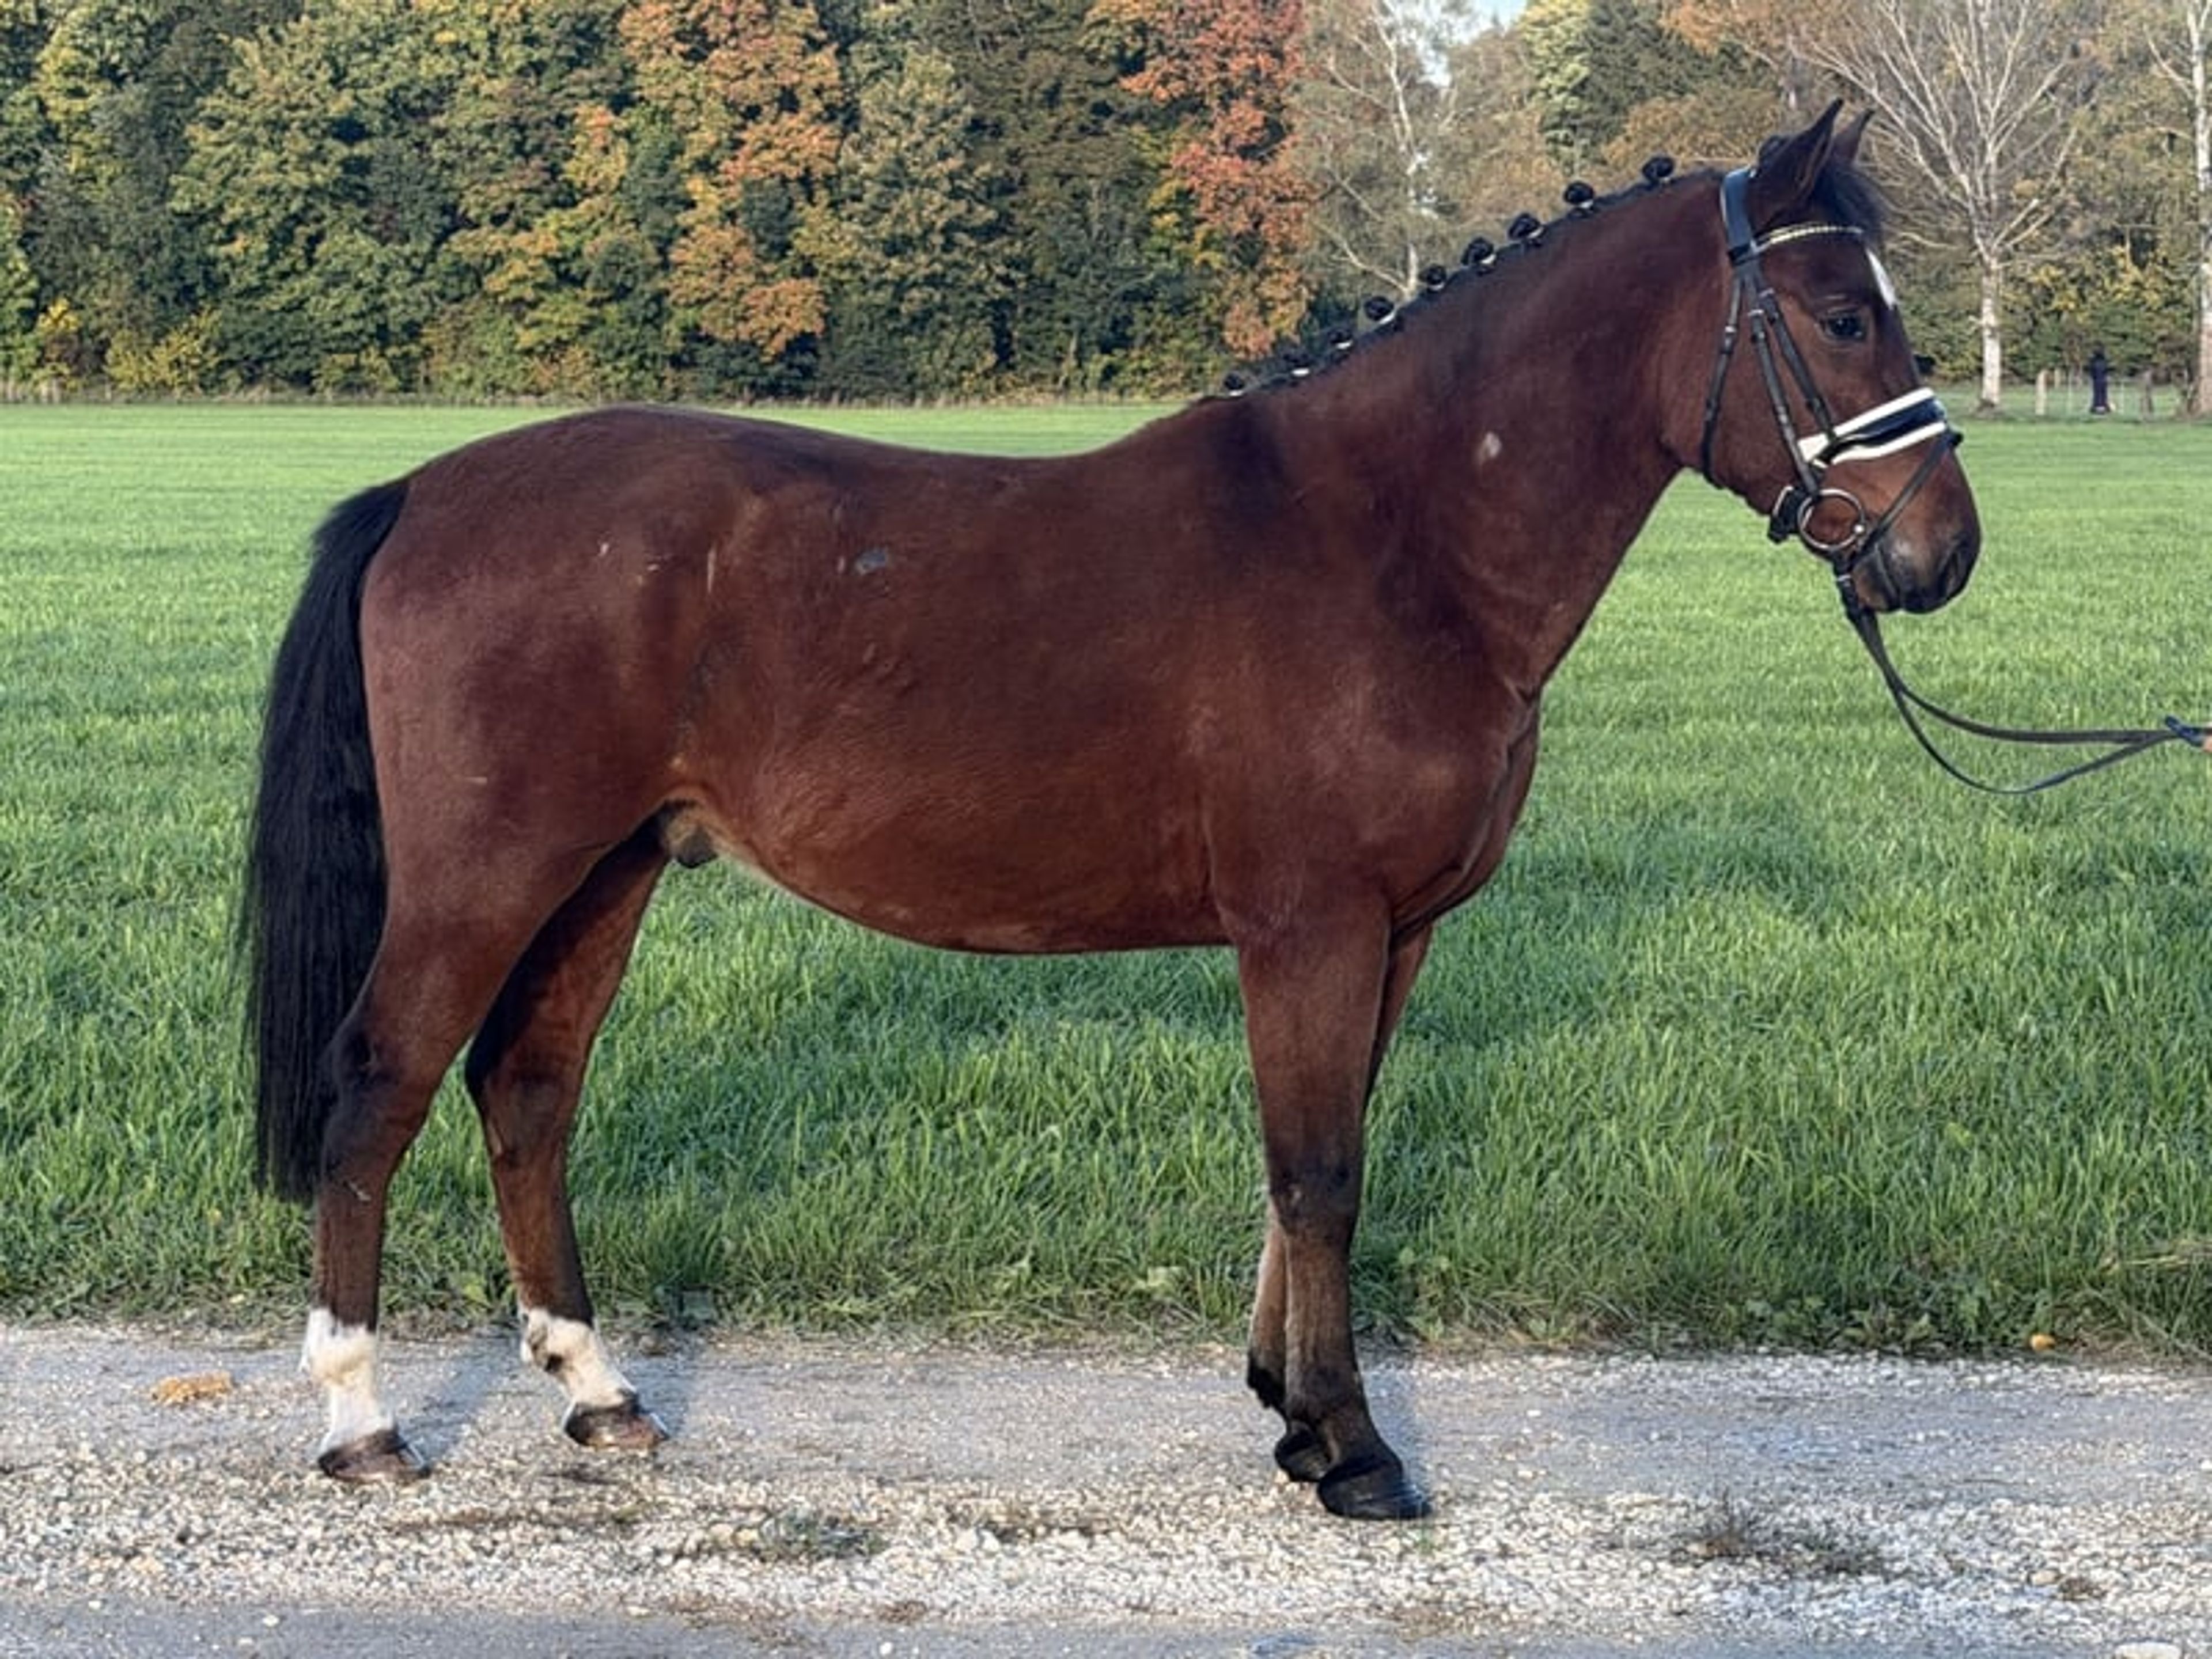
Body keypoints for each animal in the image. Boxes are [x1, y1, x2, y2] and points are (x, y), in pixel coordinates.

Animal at [242, 105, 1978, 1521]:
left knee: (527, 1090)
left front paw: (1291, 1411)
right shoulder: (1312, 925)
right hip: (487, 875)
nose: (1942, 550)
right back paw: (357, 1423)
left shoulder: (1392, 935)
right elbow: (1319, 1168)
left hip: (607, 870)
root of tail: (423, 492)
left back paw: (599, 1396)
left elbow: (1317, 1157)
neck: (1391, 538)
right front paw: (1352, 1451)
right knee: (378, 1083)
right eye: (1841, 313)